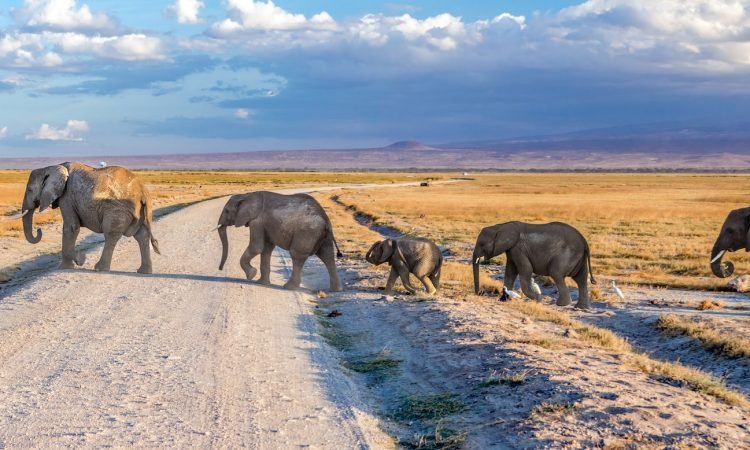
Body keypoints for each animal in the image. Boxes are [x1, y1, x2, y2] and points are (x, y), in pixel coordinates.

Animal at [21, 163, 162, 272]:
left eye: (29, 190)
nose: (39, 230)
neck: (52, 167)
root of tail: (143, 191)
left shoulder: (67, 197)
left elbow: (71, 227)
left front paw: (74, 263)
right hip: (141, 211)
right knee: (142, 236)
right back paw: (143, 271)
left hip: (117, 210)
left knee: (111, 234)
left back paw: (100, 269)